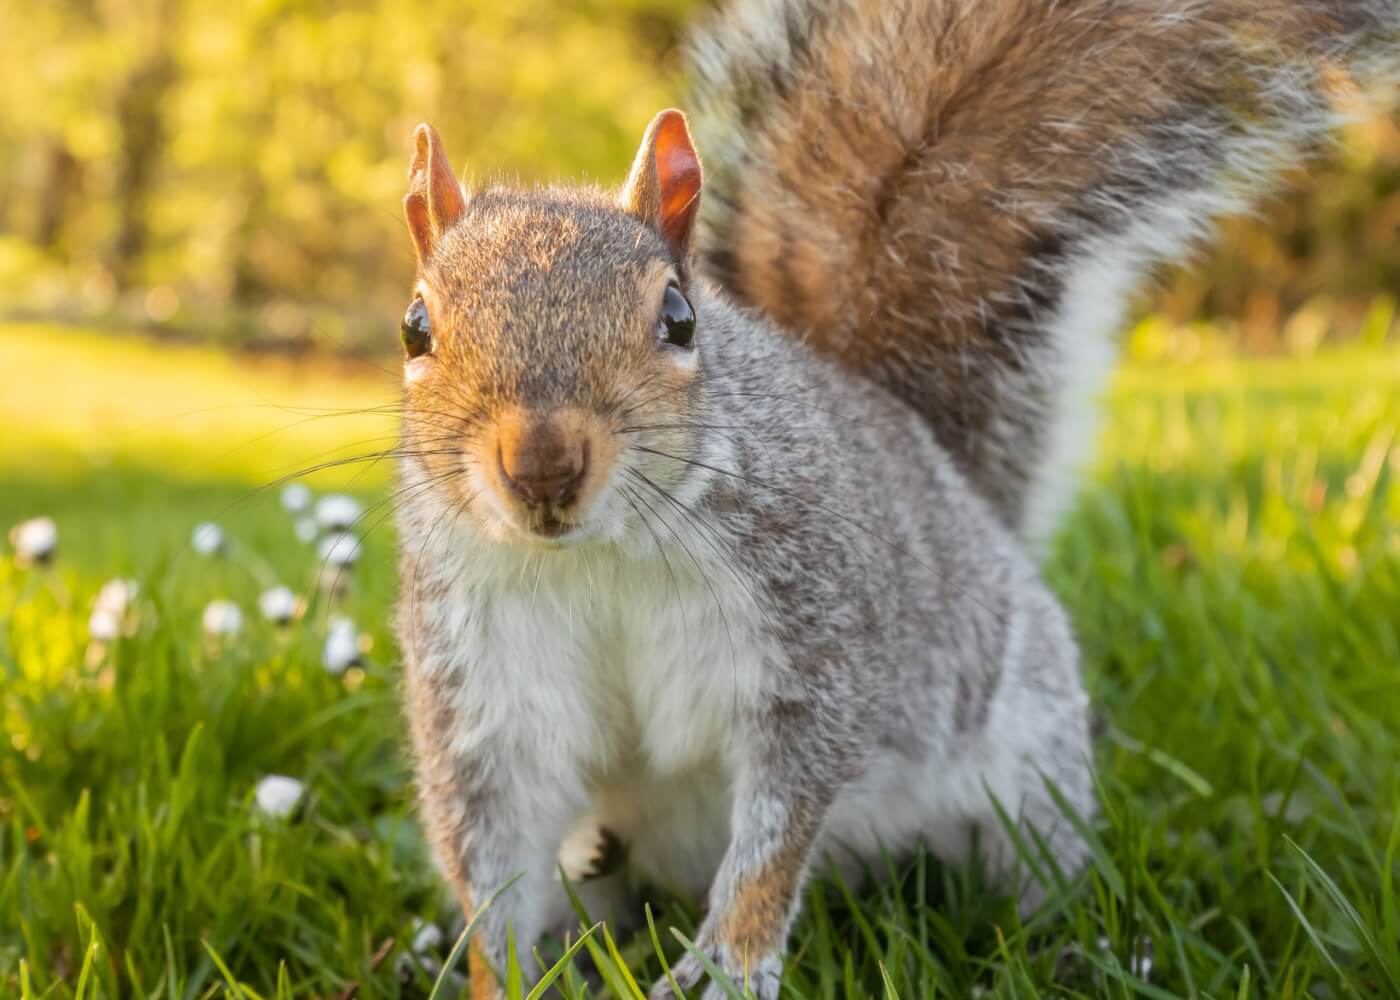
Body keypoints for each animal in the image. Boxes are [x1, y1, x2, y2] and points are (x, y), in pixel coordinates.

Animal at [394, 3, 1400, 991]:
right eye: (415, 328)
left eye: (679, 318)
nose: (542, 467)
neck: (600, 553)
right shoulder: (483, 682)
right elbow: (492, 854)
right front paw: (500, 974)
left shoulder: (817, 633)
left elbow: (782, 825)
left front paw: (729, 961)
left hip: (1031, 766)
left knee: (1037, 869)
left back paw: (1069, 950)